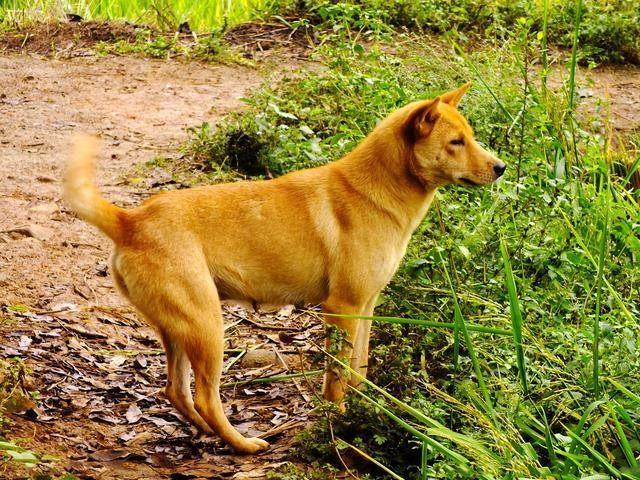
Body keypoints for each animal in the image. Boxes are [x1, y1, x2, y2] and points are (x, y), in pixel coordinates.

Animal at [65, 82, 504, 454]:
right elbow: (335, 379)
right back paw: (241, 444)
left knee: (176, 392)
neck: (376, 190)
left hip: (179, 328)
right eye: (456, 142)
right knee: (205, 397)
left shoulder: (365, 306)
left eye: (470, 136)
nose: (500, 168)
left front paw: (365, 410)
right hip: (207, 326)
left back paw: (209, 434)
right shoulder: (341, 308)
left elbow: (358, 369)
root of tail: (130, 220)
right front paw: (336, 427)